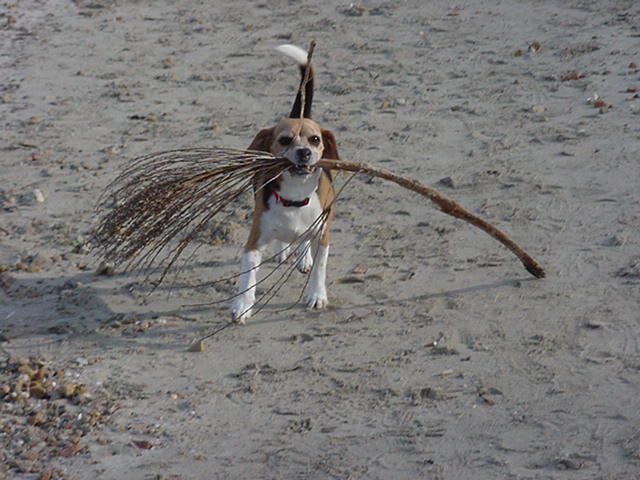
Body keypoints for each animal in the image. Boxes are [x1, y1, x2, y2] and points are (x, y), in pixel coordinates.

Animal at [231, 45, 340, 322]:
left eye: (314, 139)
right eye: (284, 140)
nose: (304, 152)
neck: (295, 197)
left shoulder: (323, 234)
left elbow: (320, 268)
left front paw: (317, 295)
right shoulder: (254, 240)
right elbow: (247, 276)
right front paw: (242, 305)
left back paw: (303, 257)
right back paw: (283, 250)